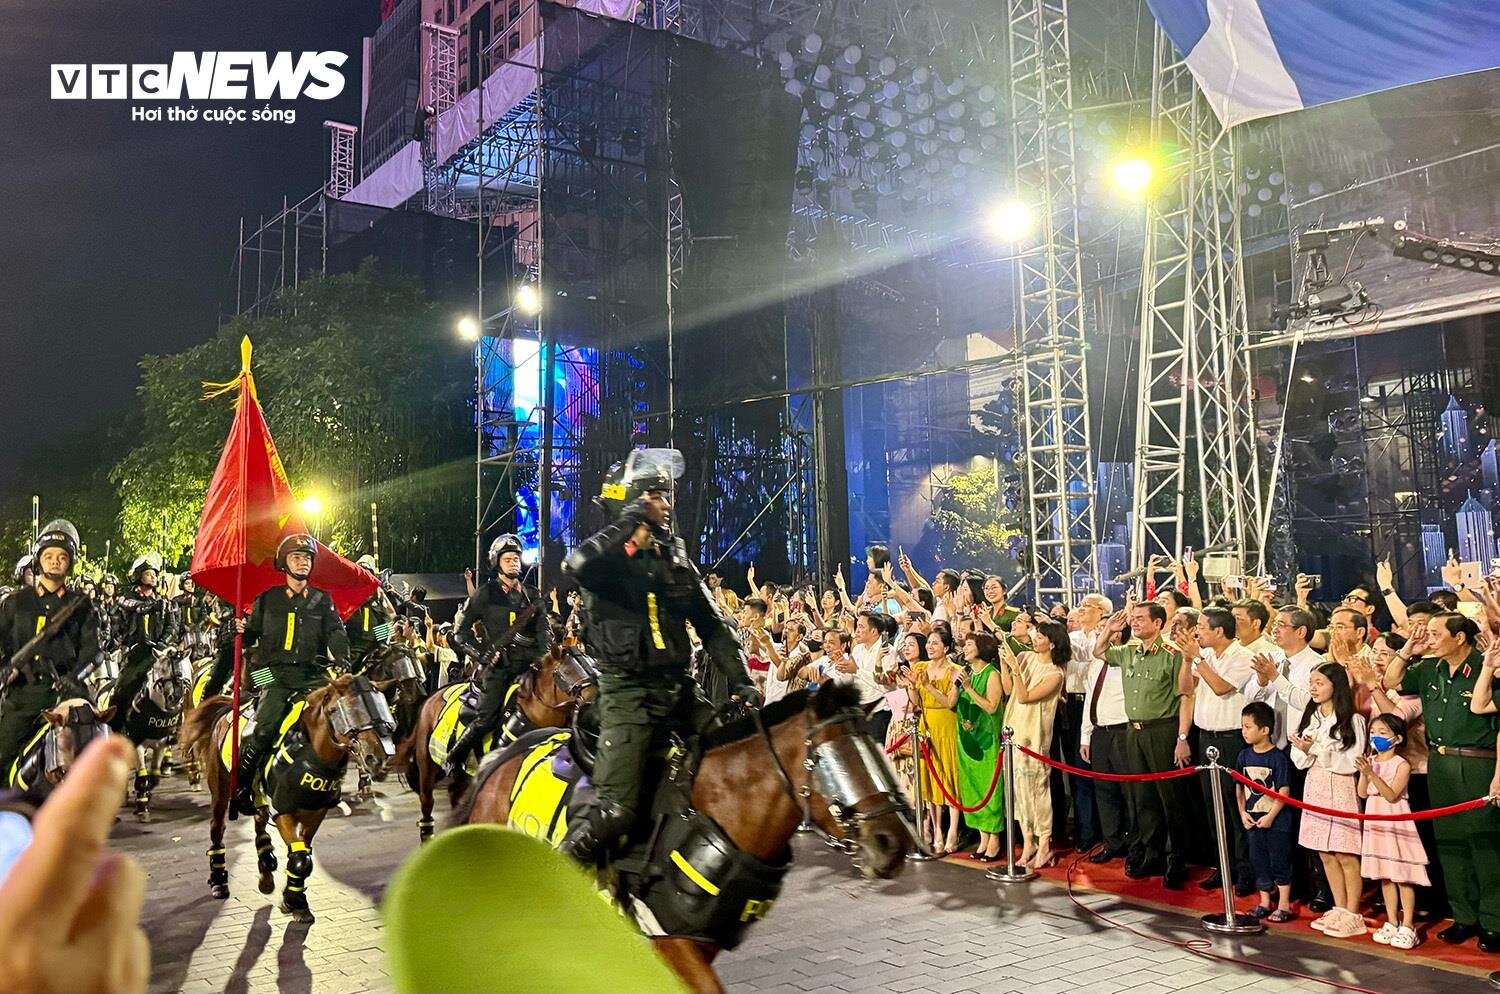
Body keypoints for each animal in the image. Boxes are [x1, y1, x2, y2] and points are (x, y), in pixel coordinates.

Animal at [177, 677, 393, 923]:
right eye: (335, 710)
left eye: (379, 705)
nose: (376, 757)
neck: (311, 751)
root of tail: (227, 708)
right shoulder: (282, 812)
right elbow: (300, 859)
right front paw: (295, 901)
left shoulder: (316, 811)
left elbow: (302, 855)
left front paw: (293, 897)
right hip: (221, 789)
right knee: (218, 827)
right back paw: (219, 880)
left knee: (259, 818)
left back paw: (265, 865)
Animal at [396, 641, 600, 845]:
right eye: (567, 671)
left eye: (592, 666)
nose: (593, 705)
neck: (535, 713)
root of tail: (431, 698)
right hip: (426, 765)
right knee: (427, 802)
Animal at [453, 683, 912, 994]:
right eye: (834, 758)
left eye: (872, 749)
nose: (891, 842)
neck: (717, 809)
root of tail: (499, 762)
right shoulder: (669, 942)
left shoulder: (695, 944)